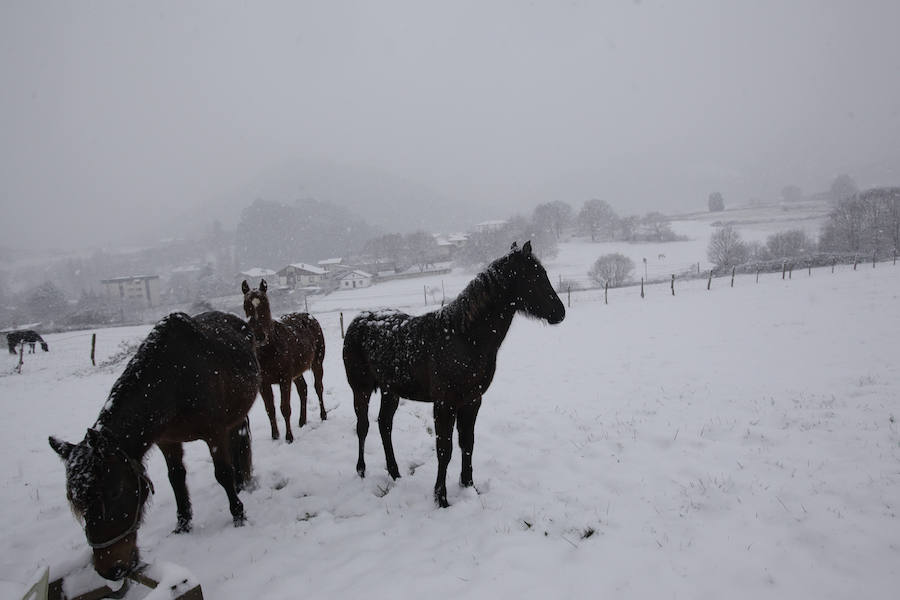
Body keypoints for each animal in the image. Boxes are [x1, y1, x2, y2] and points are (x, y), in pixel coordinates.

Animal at [48, 312, 260, 580]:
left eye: (114, 492)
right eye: (77, 502)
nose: (110, 570)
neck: (174, 379)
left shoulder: (215, 434)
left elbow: (222, 473)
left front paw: (238, 515)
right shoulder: (167, 441)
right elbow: (176, 478)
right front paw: (183, 525)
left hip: (237, 415)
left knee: (238, 444)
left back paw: (242, 483)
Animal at [241, 278, 326, 442]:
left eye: (265, 304)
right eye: (246, 306)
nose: (259, 336)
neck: (269, 349)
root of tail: (310, 317)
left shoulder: (284, 379)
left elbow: (285, 408)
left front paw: (289, 437)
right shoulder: (264, 384)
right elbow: (270, 409)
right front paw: (275, 435)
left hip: (317, 363)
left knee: (318, 387)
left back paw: (323, 415)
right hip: (297, 372)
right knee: (303, 389)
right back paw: (302, 420)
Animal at [342, 239, 564, 506]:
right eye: (535, 276)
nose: (560, 312)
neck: (464, 338)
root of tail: (358, 320)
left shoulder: (472, 400)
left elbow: (467, 443)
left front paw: (468, 486)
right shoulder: (444, 404)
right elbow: (444, 450)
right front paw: (441, 498)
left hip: (390, 391)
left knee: (385, 425)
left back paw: (395, 473)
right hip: (361, 389)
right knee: (363, 426)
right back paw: (361, 470)